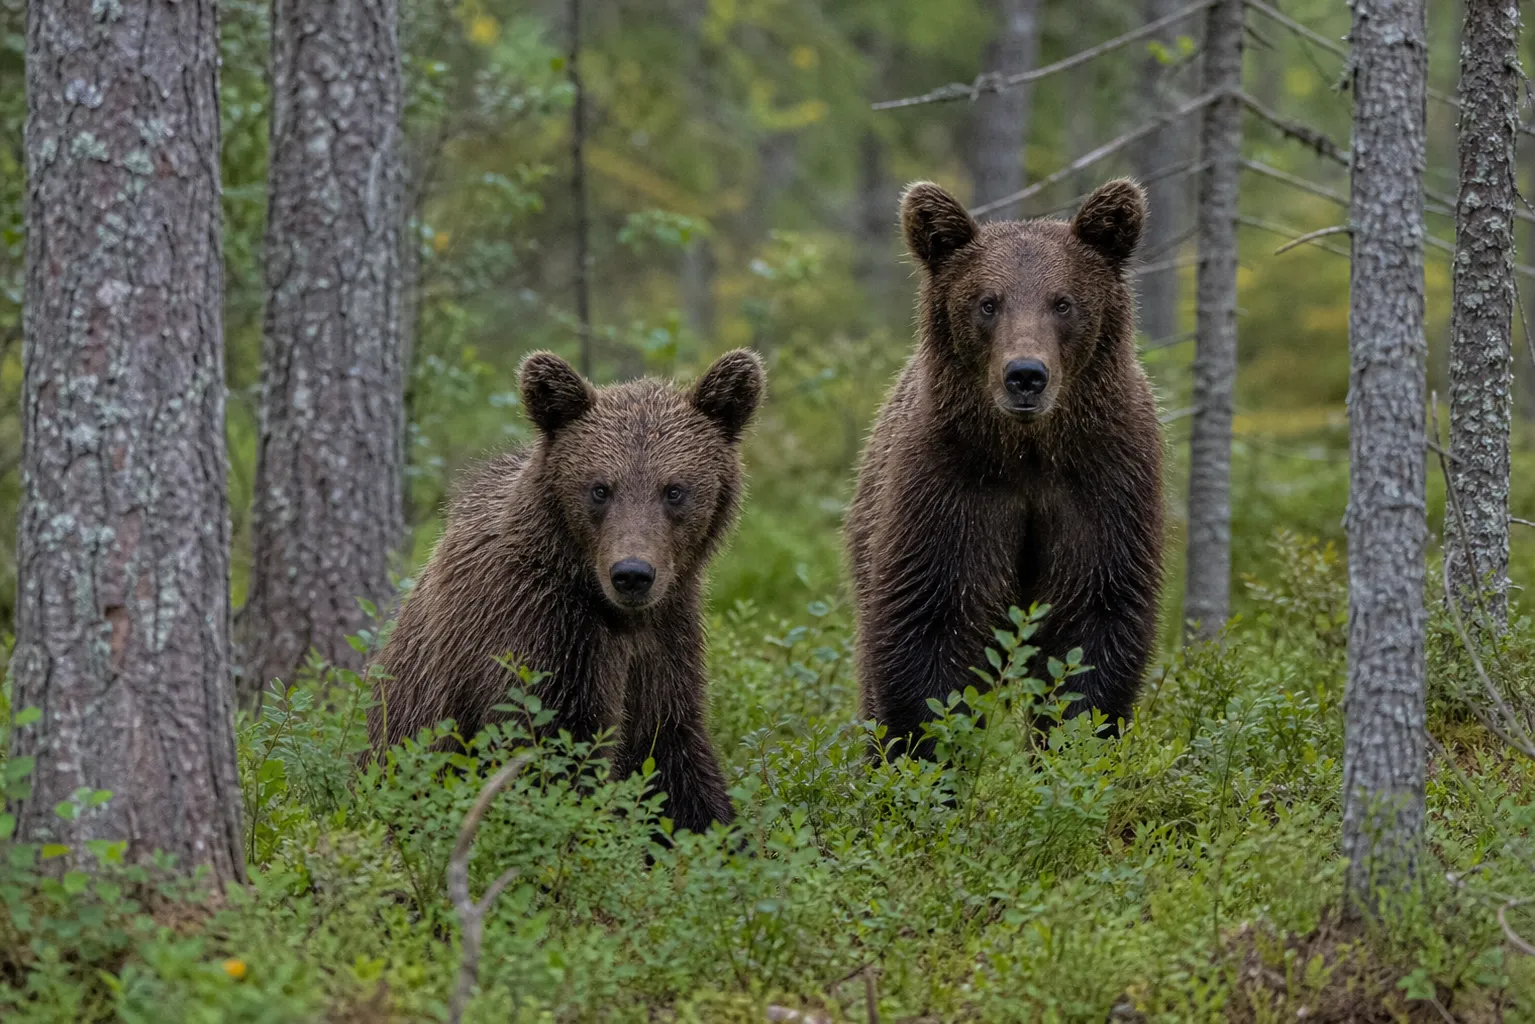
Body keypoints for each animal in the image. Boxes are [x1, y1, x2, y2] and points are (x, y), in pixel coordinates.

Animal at [367, 349, 765, 833]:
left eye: (674, 490)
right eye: (600, 488)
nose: (632, 574)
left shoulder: (666, 639)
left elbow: (672, 757)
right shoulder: (534, 629)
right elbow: (551, 756)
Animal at [845, 177, 1164, 758]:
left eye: (1063, 302)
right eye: (987, 303)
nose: (1026, 375)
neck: (1029, 452)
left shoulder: (1105, 481)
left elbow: (1092, 622)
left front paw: (1073, 747)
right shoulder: (951, 485)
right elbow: (931, 622)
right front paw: (925, 756)